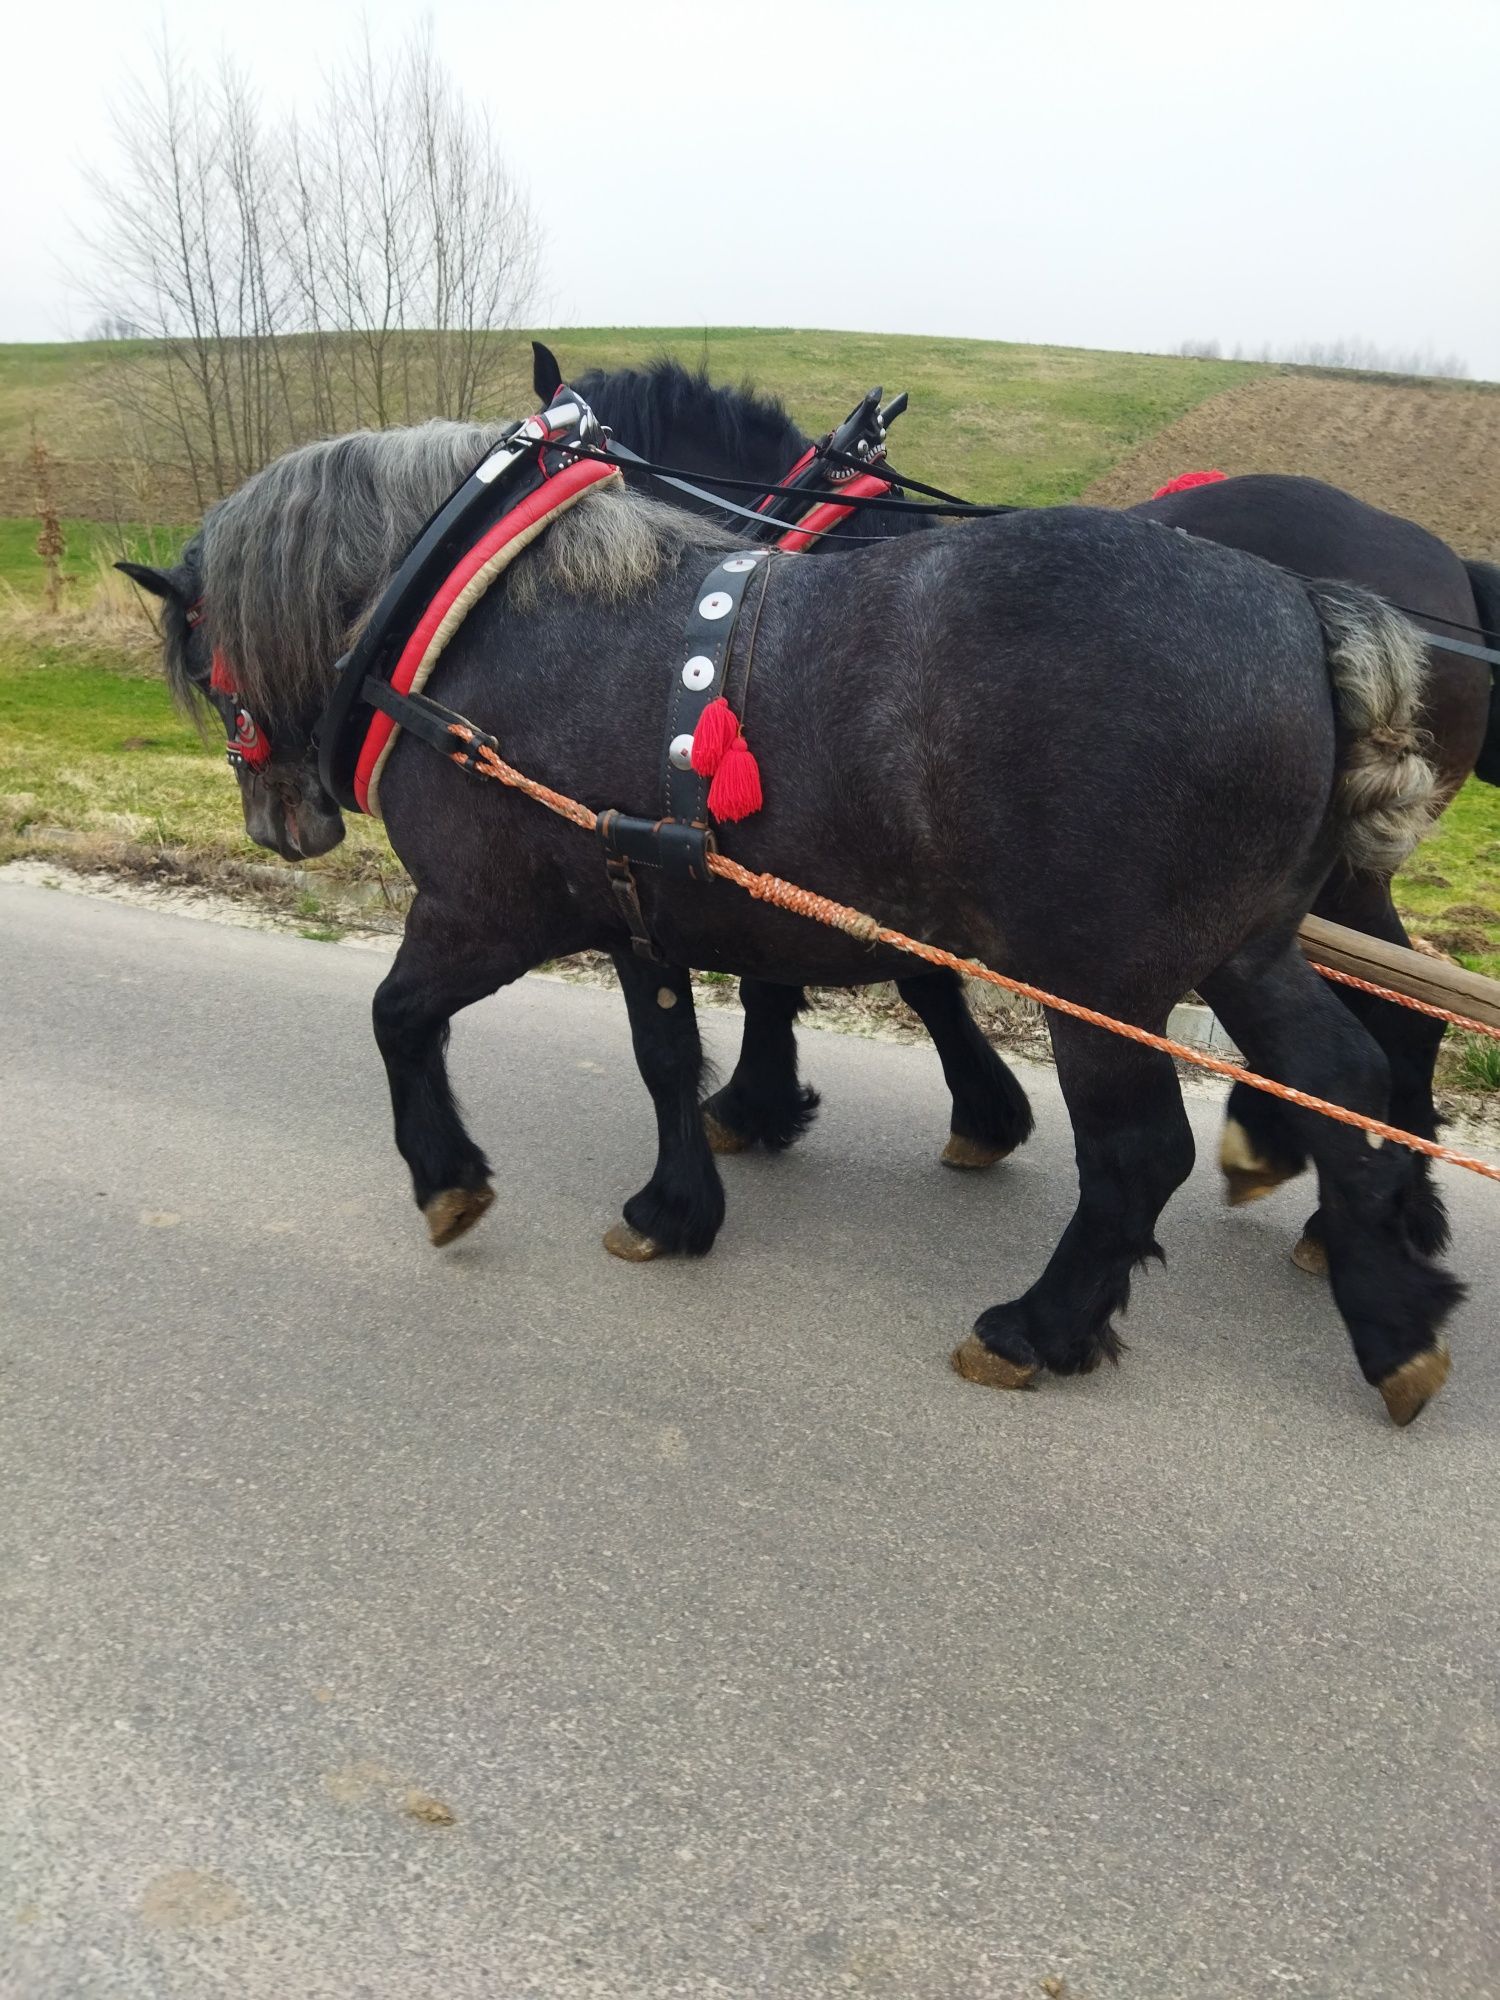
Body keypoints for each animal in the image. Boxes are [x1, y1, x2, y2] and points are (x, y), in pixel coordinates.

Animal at [123, 418, 1464, 1424]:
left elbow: (397, 1013)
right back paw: (1390, 1311)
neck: (475, 614)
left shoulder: (482, 910)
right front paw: (678, 1203)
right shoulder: (641, 906)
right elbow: (666, 1055)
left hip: (1104, 979)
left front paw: (447, 1178)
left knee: (1141, 1155)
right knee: (1345, 1076)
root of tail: (1303, 607)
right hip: (1245, 946)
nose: (280, 826)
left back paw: (1041, 1326)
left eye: (204, 651)